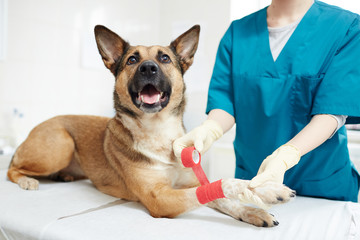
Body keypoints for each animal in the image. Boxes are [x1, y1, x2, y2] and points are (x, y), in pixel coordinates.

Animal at [6, 24, 296, 227]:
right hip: (61, 144)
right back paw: (27, 180)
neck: (159, 132)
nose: (148, 68)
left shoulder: (191, 184)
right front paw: (265, 190)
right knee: (11, 169)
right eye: (132, 60)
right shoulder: (160, 199)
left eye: (165, 58)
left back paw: (63, 176)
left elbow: (218, 195)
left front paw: (254, 205)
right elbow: (223, 183)